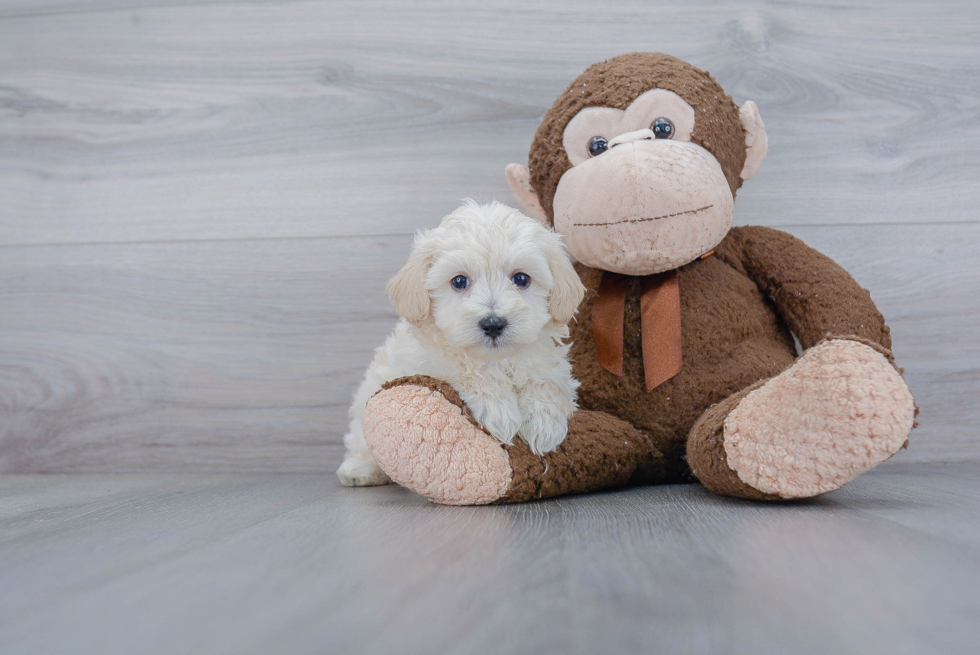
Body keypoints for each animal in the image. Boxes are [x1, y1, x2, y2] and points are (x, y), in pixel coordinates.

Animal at [336, 200, 584, 486]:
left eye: (521, 279)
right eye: (459, 281)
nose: (493, 324)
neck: (498, 360)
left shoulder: (549, 362)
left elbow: (547, 381)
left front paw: (544, 424)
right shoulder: (428, 362)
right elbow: (466, 370)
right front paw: (499, 412)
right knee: (361, 442)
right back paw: (359, 470)